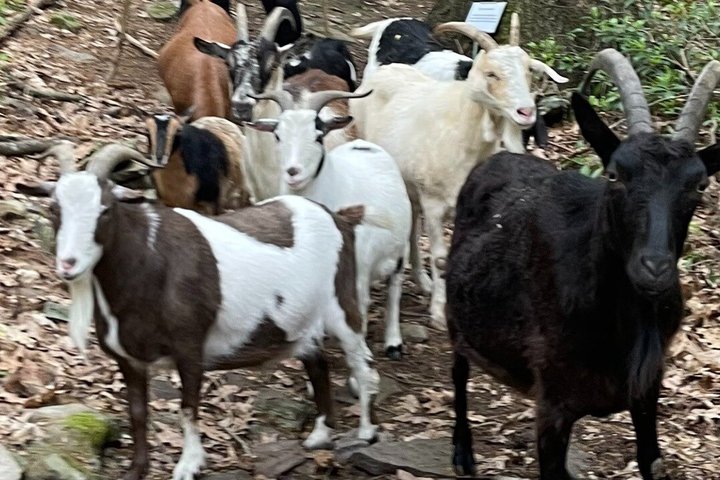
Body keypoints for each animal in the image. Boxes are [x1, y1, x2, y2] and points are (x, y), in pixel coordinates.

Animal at [17, 148, 381, 480]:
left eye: (104, 210)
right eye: (54, 208)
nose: (69, 264)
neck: (148, 262)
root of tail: (340, 219)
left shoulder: (190, 347)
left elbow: (188, 408)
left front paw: (188, 465)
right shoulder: (129, 359)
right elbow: (137, 412)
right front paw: (137, 469)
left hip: (343, 305)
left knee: (362, 365)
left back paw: (365, 432)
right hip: (302, 322)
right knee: (317, 363)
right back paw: (319, 434)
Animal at [247, 88, 412, 360]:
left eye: (318, 135)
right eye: (278, 135)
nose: (293, 172)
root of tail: (365, 145)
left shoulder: (358, 269)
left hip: (400, 248)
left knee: (395, 287)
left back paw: (393, 343)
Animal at [350, 22, 567, 328]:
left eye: (528, 71)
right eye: (491, 74)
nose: (526, 112)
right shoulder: (433, 202)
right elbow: (440, 256)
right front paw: (439, 313)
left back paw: (422, 280)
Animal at [446, 50, 720, 479]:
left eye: (700, 185)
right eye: (615, 174)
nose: (654, 268)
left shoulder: (646, 392)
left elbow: (649, 460)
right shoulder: (553, 407)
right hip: (456, 317)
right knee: (458, 369)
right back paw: (462, 451)